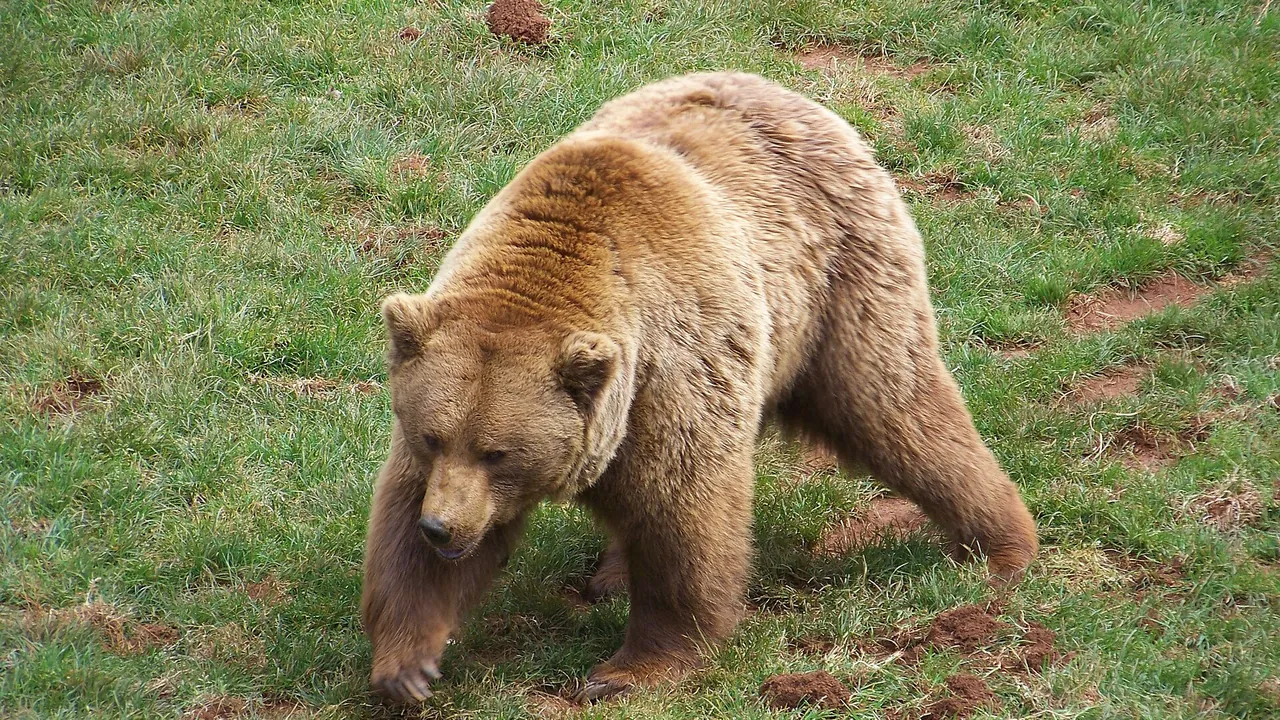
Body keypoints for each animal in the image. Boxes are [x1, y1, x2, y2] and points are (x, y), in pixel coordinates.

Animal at [361, 71, 1038, 704]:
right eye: (432, 437)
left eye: (497, 452)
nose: (442, 528)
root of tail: (795, 95)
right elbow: (401, 519)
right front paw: (407, 663)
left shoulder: (671, 371)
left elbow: (683, 512)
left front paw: (629, 669)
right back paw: (611, 574)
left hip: (840, 282)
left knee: (897, 405)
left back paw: (1002, 547)